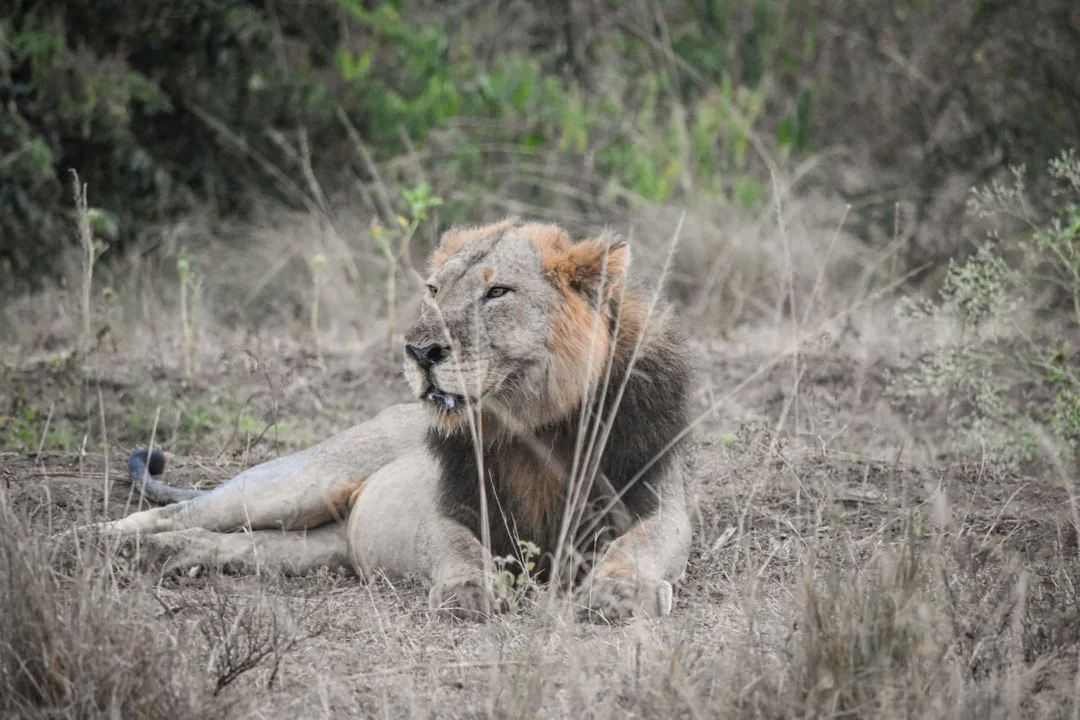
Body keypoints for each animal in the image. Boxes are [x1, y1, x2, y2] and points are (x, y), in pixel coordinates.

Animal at [101, 216, 691, 621]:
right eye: (434, 290)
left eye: (497, 291)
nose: (420, 352)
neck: (531, 423)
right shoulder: (450, 503)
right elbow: (457, 547)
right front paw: (466, 591)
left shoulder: (656, 500)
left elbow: (641, 544)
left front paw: (618, 591)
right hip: (304, 481)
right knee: (176, 512)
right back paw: (104, 542)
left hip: (316, 549)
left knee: (233, 541)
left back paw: (166, 557)